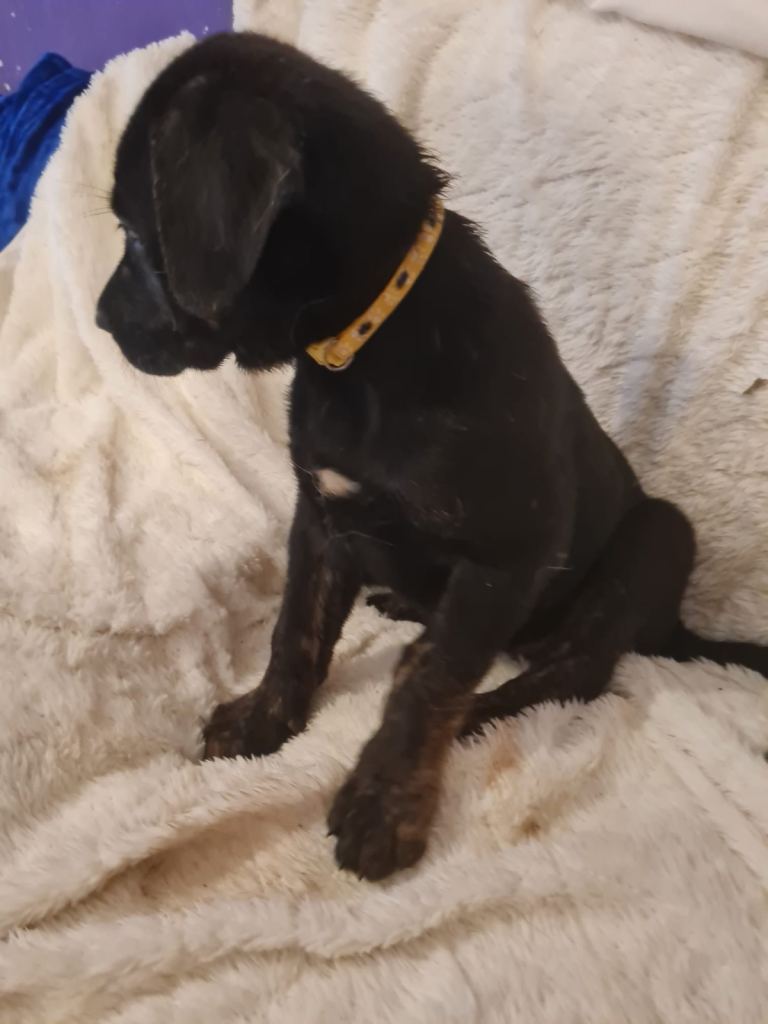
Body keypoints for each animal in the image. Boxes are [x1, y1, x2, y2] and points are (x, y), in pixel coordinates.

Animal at [96, 33, 768, 880]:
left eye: (135, 234)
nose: (100, 319)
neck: (367, 342)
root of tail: (673, 628)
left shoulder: (510, 553)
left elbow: (431, 677)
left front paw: (385, 806)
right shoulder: (320, 517)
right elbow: (294, 630)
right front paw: (263, 722)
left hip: (658, 536)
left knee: (573, 673)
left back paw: (480, 710)